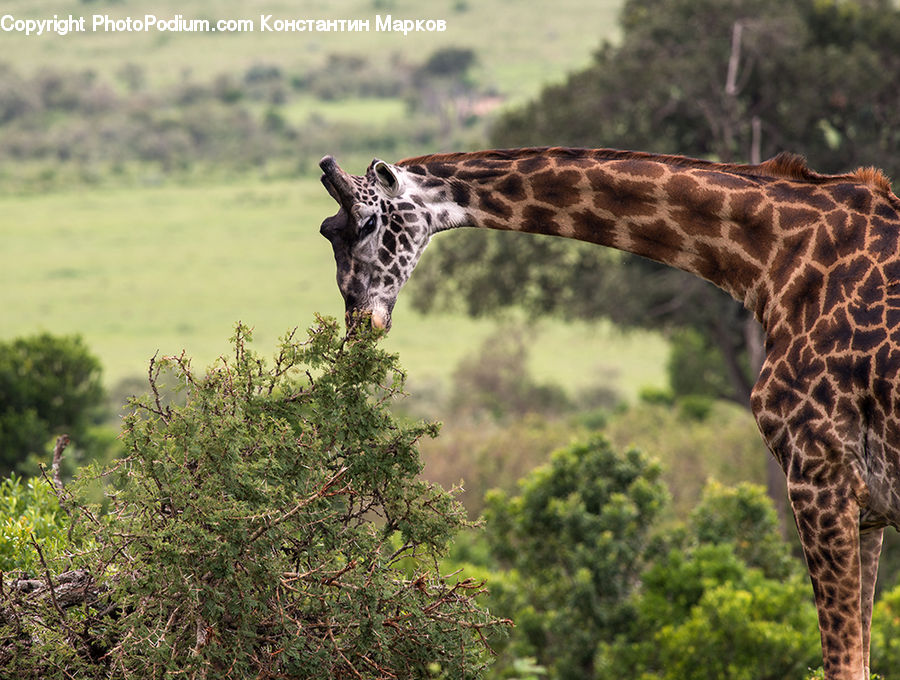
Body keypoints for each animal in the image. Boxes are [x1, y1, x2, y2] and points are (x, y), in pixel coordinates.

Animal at [317, 146, 900, 680]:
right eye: (328, 230)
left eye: (366, 222)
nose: (359, 320)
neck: (775, 261)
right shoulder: (866, 508)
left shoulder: (820, 475)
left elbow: (845, 664)